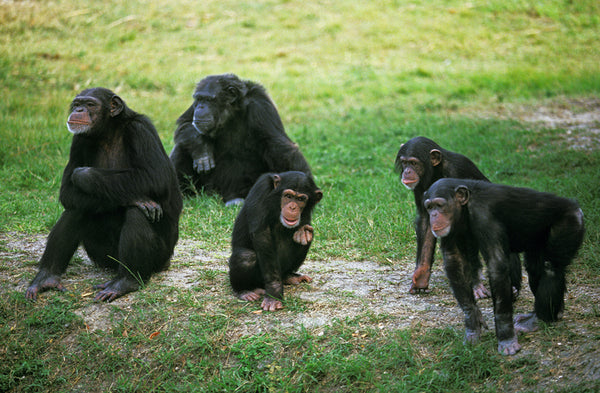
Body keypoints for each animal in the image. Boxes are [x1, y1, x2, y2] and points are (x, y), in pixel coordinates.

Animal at [26, 87, 180, 302]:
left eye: (90, 104)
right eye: (77, 103)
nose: (79, 109)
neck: (109, 132)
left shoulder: (141, 130)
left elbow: (156, 176)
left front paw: (83, 175)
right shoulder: (78, 140)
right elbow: (67, 192)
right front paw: (136, 198)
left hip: (160, 258)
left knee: (137, 214)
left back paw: (125, 282)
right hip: (102, 256)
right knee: (76, 209)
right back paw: (46, 277)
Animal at [168, 72, 312, 205]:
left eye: (208, 99)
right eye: (199, 99)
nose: (200, 107)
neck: (231, 113)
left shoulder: (261, 107)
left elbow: (279, 147)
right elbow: (185, 123)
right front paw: (201, 149)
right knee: (182, 146)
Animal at [230, 170, 324, 310]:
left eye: (301, 199)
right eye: (288, 196)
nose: (292, 207)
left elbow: (304, 230)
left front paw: (302, 233)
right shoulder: (261, 188)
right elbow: (262, 234)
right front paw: (273, 293)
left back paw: (289, 277)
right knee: (245, 256)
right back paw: (245, 291)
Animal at [394, 136, 520, 298]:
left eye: (414, 163)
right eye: (405, 162)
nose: (407, 171)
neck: (436, 171)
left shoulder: (458, 170)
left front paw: (476, 284)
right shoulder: (420, 188)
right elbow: (426, 221)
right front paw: (421, 276)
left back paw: (513, 288)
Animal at [422, 178, 584, 356]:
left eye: (439, 205)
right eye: (429, 207)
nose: (433, 215)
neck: (465, 208)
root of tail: (576, 207)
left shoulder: (484, 216)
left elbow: (496, 265)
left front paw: (506, 337)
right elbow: (454, 261)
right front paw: (472, 322)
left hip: (569, 223)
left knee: (551, 268)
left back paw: (536, 320)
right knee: (534, 267)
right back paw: (550, 313)